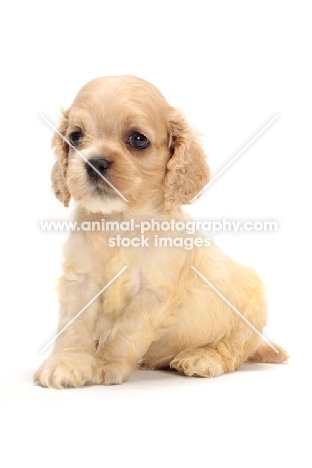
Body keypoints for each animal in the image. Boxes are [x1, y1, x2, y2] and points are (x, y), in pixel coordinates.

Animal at [34, 75, 288, 388]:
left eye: (138, 139)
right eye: (75, 138)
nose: (94, 162)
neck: (121, 220)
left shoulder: (154, 293)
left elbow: (124, 331)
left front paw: (105, 364)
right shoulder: (80, 280)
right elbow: (73, 324)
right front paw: (67, 362)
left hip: (251, 312)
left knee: (233, 349)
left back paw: (202, 357)